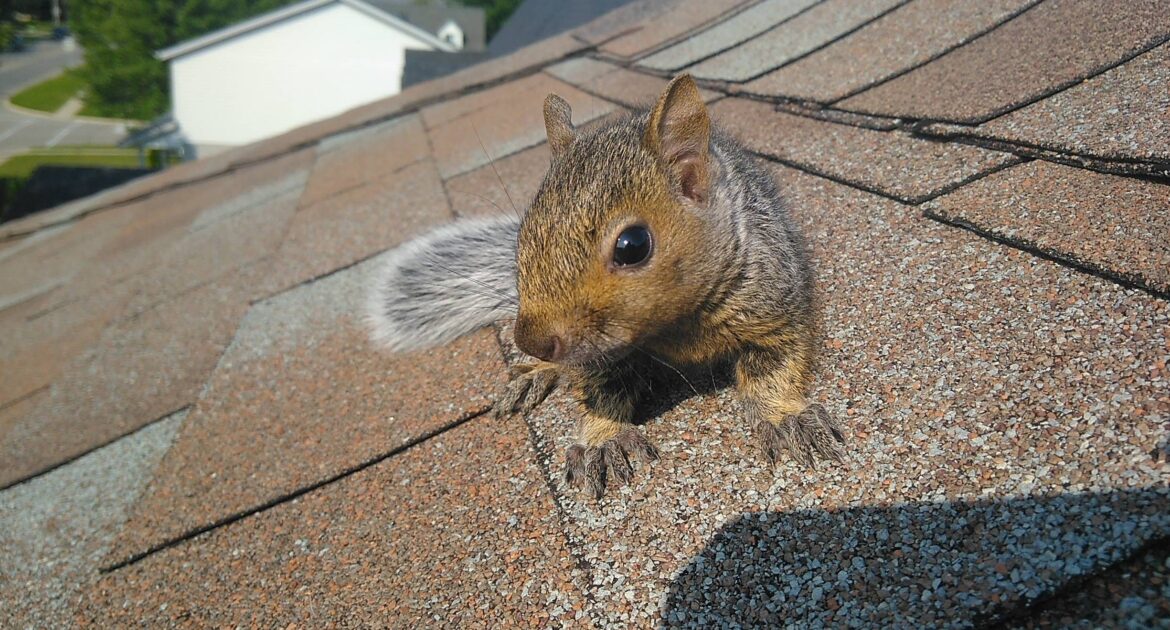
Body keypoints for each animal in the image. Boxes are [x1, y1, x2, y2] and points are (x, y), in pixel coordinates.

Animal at [368, 74, 845, 499]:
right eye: (523, 235)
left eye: (633, 245)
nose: (531, 341)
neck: (675, 324)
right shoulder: (597, 355)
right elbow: (599, 389)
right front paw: (603, 438)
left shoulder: (773, 302)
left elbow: (774, 365)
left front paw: (785, 417)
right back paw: (536, 373)